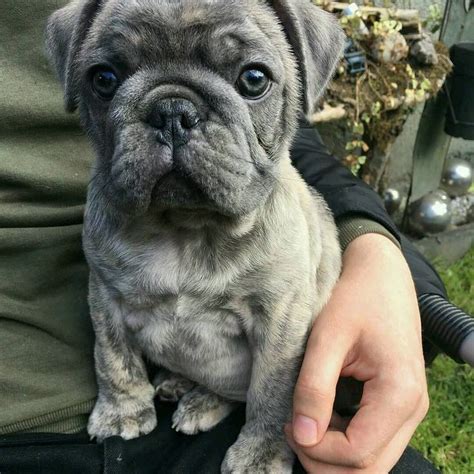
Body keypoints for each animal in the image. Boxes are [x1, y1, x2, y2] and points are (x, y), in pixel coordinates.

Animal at [46, 1, 344, 472]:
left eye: (254, 79)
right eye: (104, 80)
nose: (172, 111)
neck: (185, 230)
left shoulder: (281, 322)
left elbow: (273, 392)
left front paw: (261, 453)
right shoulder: (105, 298)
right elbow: (113, 358)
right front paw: (122, 412)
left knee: (236, 392)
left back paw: (201, 402)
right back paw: (175, 383)